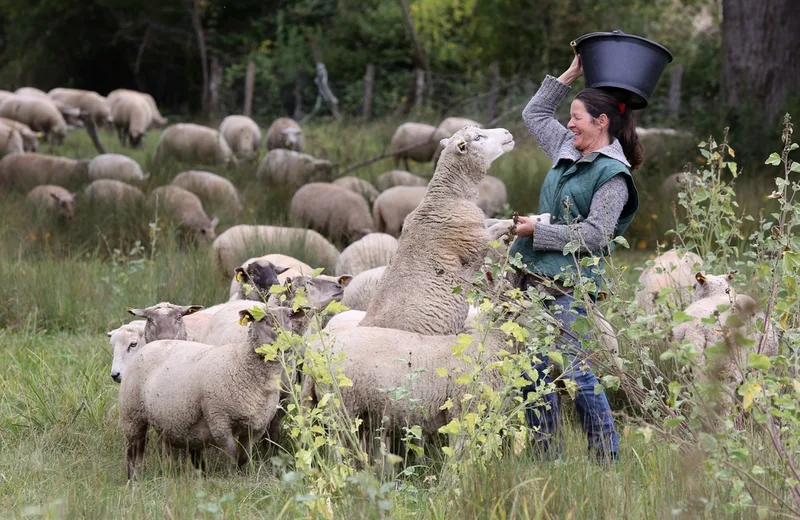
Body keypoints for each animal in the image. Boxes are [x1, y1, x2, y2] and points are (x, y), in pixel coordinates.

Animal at [120, 304, 304, 480]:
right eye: (263, 319)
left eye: (290, 317)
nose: (287, 340)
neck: (241, 362)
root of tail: (152, 344)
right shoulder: (219, 421)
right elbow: (231, 455)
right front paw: (232, 479)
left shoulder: (256, 427)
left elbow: (243, 457)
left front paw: (243, 476)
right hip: (132, 413)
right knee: (132, 451)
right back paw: (133, 480)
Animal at [360, 125, 516, 334]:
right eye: (478, 137)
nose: (507, 132)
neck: (446, 198)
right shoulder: (474, 242)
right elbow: (498, 227)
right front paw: (521, 223)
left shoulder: (477, 226)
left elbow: (494, 220)